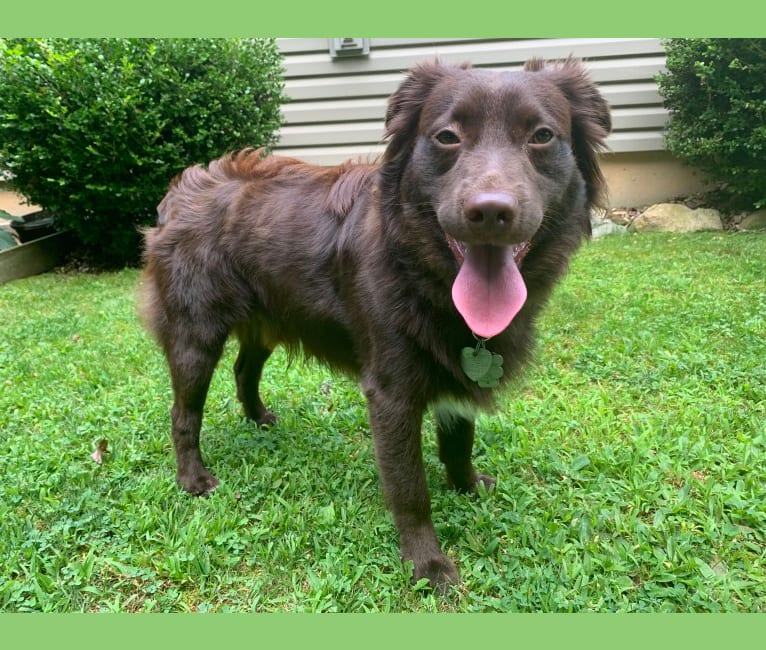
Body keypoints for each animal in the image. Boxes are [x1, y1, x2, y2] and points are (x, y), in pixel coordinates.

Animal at [141, 58, 612, 588]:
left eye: (542, 136)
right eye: (447, 137)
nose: (491, 211)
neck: (416, 265)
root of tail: (179, 191)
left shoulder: (458, 370)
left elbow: (459, 442)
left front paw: (467, 486)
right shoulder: (391, 394)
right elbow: (410, 488)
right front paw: (427, 563)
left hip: (269, 318)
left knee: (245, 370)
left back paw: (259, 418)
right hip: (194, 335)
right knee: (184, 413)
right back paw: (192, 478)